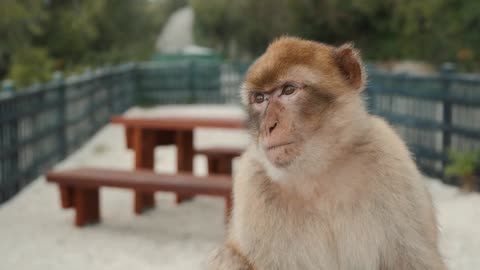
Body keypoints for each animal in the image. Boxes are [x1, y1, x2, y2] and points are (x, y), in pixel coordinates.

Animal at [206, 37, 446, 270]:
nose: (268, 127)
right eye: (259, 98)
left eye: (288, 90)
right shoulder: (252, 185)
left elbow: (413, 262)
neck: (318, 172)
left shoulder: (393, 161)